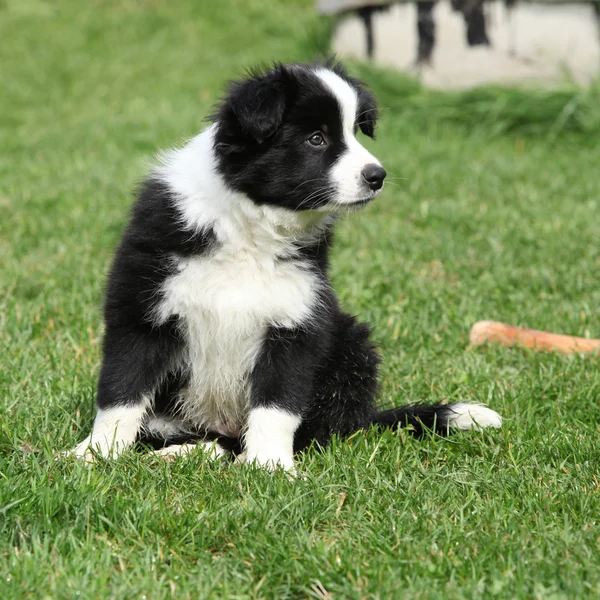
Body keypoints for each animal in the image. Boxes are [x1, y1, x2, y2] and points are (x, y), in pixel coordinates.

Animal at [71, 62, 502, 474]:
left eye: (355, 132)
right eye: (316, 139)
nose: (377, 176)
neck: (250, 226)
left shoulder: (295, 318)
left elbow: (278, 404)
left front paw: (270, 467)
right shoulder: (142, 304)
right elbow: (122, 391)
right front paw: (95, 454)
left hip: (351, 346)